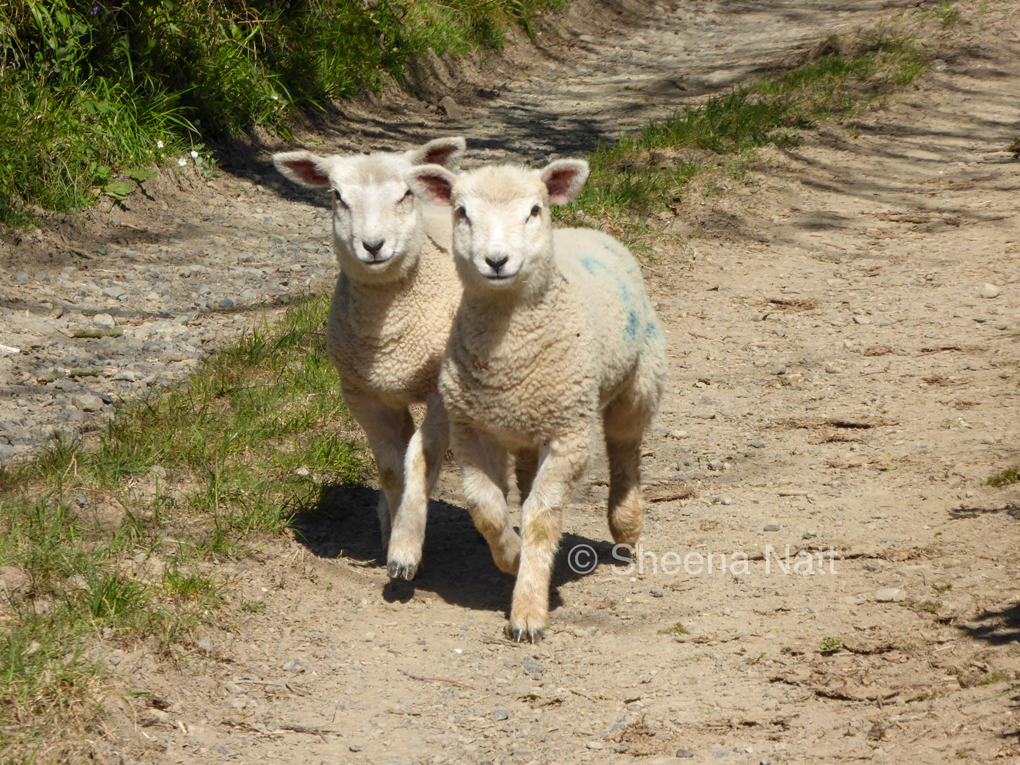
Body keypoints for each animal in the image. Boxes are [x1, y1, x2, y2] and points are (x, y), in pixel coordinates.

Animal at [271, 137, 463, 579]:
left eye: (405, 194)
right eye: (337, 197)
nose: (373, 246)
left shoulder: (440, 393)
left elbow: (422, 459)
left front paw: (407, 548)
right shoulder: (362, 395)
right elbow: (392, 469)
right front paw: (395, 535)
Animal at [405, 159, 669, 644]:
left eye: (533, 210)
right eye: (462, 212)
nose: (496, 260)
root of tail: (589, 231)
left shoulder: (569, 437)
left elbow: (543, 519)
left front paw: (528, 613)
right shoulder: (471, 431)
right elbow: (486, 509)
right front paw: (510, 556)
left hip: (640, 381)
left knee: (625, 446)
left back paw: (627, 524)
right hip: (529, 425)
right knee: (527, 475)